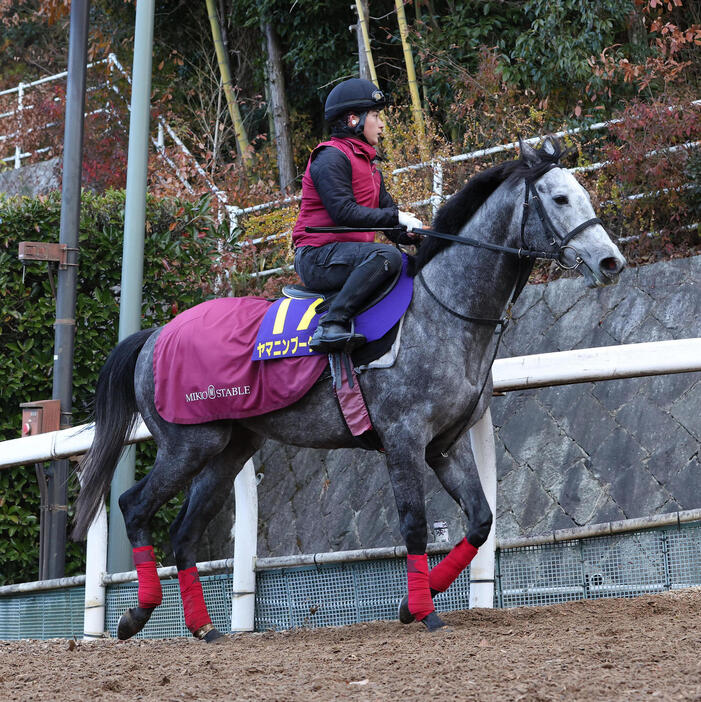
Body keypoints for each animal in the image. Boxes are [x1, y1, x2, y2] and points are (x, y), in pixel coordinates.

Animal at [74, 135, 628, 640]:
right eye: (560, 198)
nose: (611, 262)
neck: (444, 310)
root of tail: (154, 335)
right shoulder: (403, 439)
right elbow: (415, 524)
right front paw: (423, 612)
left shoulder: (446, 445)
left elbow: (480, 520)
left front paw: (413, 604)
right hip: (189, 443)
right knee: (135, 507)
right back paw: (137, 614)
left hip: (228, 449)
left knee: (183, 532)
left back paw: (203, 627)